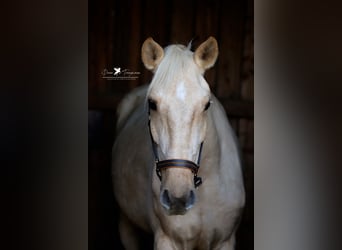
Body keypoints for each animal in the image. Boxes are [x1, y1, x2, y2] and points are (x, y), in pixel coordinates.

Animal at [111, 36, 244, 249]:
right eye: (152, 104)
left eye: (206, 105)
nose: (177, 198)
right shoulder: (168, 240)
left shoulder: (225, 241)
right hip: (126, 224)